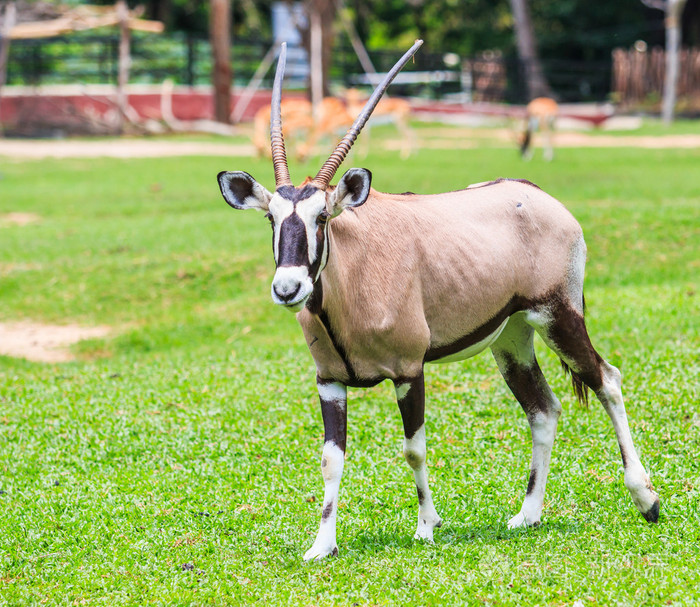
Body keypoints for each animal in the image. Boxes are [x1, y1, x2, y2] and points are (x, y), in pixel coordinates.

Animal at [216, 42, 660, 564]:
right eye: (271, 218)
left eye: (322, 216)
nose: (288, 289)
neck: (354, 275)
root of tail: (542, 198)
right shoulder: (329, 381)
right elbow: (330, 459)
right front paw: (321, 544)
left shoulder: (410, 371)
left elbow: (414, 448)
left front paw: (427, 526)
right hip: (511, 338)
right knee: (543, 409)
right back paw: (527, 514)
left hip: (559, 316)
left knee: (607, 380)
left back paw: (646, 499)